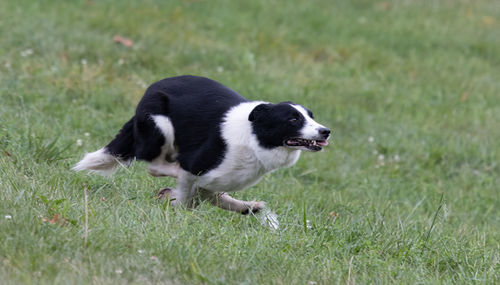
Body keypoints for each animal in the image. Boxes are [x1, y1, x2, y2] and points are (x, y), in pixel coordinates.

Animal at [72, 75, 330, 213]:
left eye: (311, 116)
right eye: (293, 119)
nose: (326, 131)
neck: (254, 136)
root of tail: (152, 88)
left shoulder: (220, 179)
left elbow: (209, 195)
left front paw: (247, 207)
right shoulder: (197, 167)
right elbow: (188, 194)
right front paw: (174, 201)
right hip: (160, 124)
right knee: (156, 165)